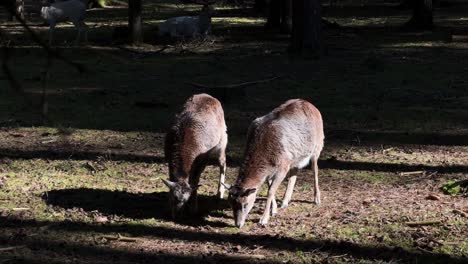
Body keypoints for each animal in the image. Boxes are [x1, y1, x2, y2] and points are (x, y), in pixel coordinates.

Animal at [225, 100, 324, 228]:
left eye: (245, 204)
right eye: (230, 203)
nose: (238, 224)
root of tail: (311, 105)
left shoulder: (283, 167)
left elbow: (271, 191)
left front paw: (263, 219)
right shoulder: (271, 171)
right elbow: (270, 187)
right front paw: (275, 210)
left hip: (317, 147)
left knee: (315, 169)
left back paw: (317, 199)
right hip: (295, 157)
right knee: (294, 173)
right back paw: (285, 201)